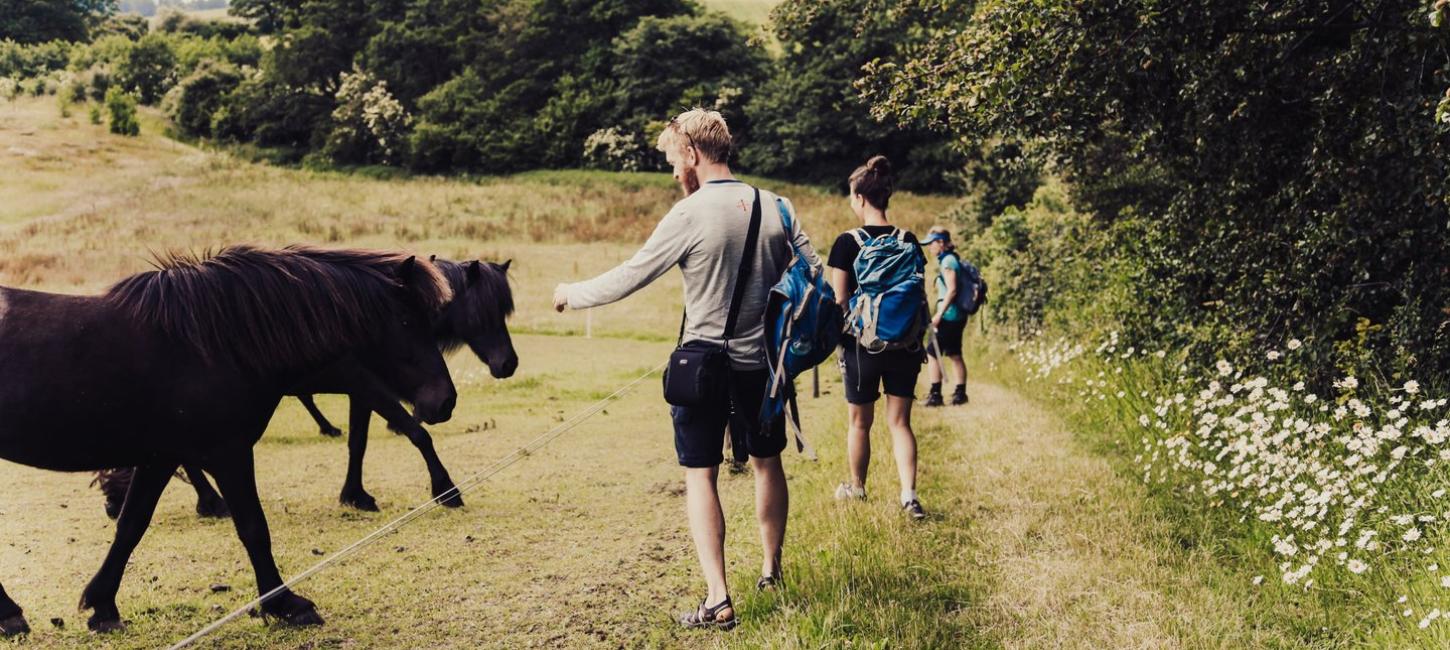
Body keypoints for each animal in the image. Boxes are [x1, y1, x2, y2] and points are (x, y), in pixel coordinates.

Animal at [0, 245, 458, 635]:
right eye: (407, 322)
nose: (445, 400)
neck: (219, 342)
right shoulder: (227, 453)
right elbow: (254, 527)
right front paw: (286, 604)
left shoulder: (160, 456)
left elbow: (132, 526)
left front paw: (103, 605)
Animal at [93, 256, 519, 516]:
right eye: (485, 311)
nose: (508, 364)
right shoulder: (364, 382)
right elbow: (415, 433)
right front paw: (445, 489)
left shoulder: (361, 389)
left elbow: (359, 441)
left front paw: (354, 494)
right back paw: (211, 502)